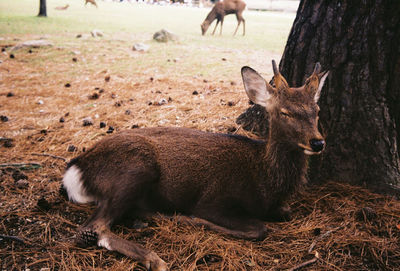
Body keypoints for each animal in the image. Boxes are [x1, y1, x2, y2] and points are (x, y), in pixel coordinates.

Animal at [63, 60, 328, 270]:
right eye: (285, 112)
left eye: (317, 110)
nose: (318, 142)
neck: (264, 182)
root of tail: (76, 168)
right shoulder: (214, 199)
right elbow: (258, 228)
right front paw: (191, 219)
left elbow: (285, 213)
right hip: (136, 168)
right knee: (94, 228)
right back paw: (156, 258)